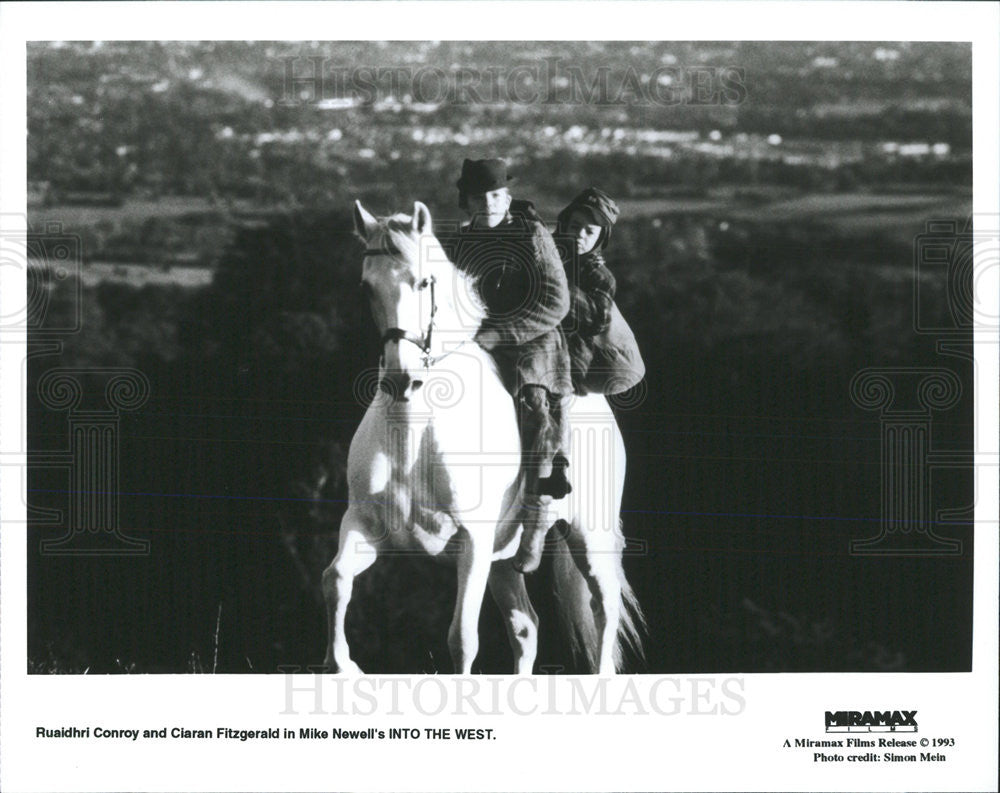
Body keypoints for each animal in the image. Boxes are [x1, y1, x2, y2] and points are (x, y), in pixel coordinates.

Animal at [324, 201, 644, 672]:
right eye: (366, 288)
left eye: (424, 282)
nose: (401, 380)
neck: (413, 437)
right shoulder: (365, 525)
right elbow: (336, 580)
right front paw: (344, 665)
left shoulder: (472, 542)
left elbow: (462, 638)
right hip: (504, 560)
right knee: (526, 627)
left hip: (590, 536)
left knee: (605, 608)